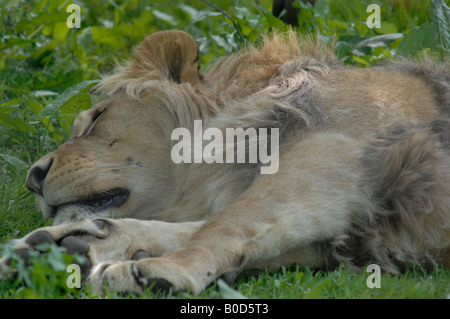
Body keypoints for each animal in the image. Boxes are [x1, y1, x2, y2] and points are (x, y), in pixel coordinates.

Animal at [0, 29, 450, 296]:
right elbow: (197, 226)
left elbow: (227, 224)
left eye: (96, 119)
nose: (32, 178)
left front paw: (160, 270)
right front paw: (66, 245)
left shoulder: (336, 149)